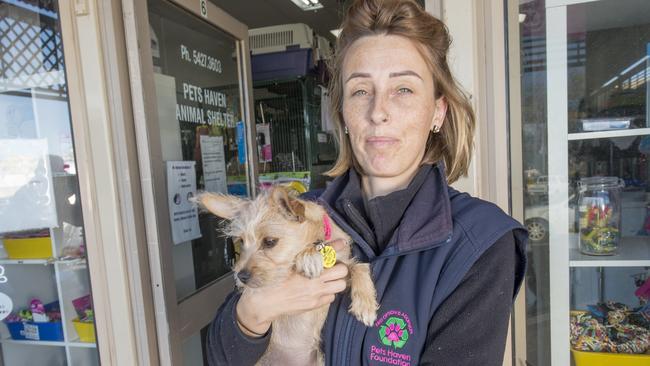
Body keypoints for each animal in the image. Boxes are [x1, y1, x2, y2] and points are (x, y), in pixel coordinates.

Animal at [195, 187, 378, 364]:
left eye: (269, 242)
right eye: (241, 241)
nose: (241, 277)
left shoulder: (341, 270)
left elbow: (359, 267)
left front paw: (365, 305)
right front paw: (309, 255)